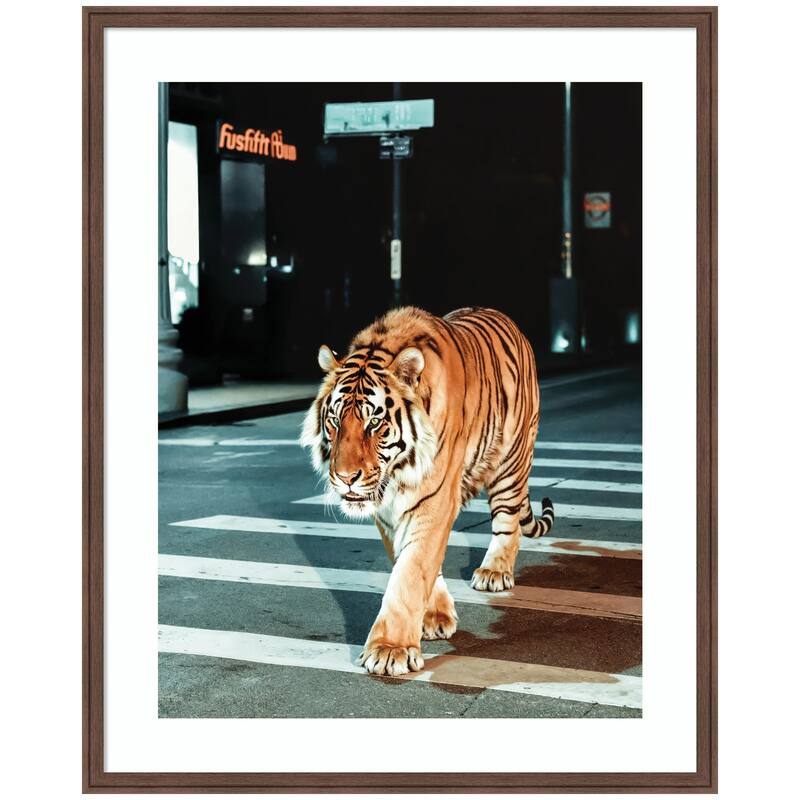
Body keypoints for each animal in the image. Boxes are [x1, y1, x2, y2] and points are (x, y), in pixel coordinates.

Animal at [301, 306, 555, 676]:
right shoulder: (388, 511)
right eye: (334, 420)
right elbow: (413, 562)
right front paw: (434, 617)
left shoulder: (433, 500)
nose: (346, 477)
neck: (396, 473)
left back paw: (494, 571)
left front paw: (389, 649)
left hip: (511, 461)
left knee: (508, 522)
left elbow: (411, 570)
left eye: (374, 422)